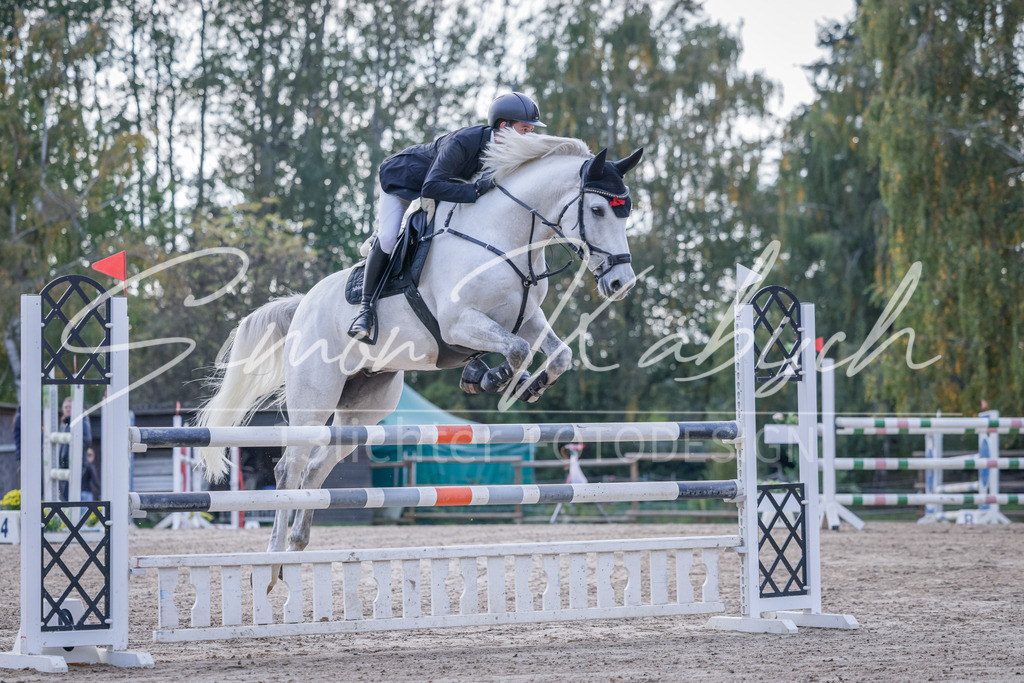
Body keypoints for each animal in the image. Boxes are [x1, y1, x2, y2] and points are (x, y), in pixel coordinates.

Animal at [195, 131, 643, 582]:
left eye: (625, 214)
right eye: (598, 209)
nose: (621, 283)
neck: (504, 238)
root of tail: (303, 303)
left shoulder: (527, 319)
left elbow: (559, 354)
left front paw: (524, 384)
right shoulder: (459, 323)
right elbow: (515, 350)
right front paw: (493, 377)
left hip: (364, 406)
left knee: (317, 464)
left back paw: (299, 543)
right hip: (315, 396)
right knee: (290, 466)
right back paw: (274, 561)